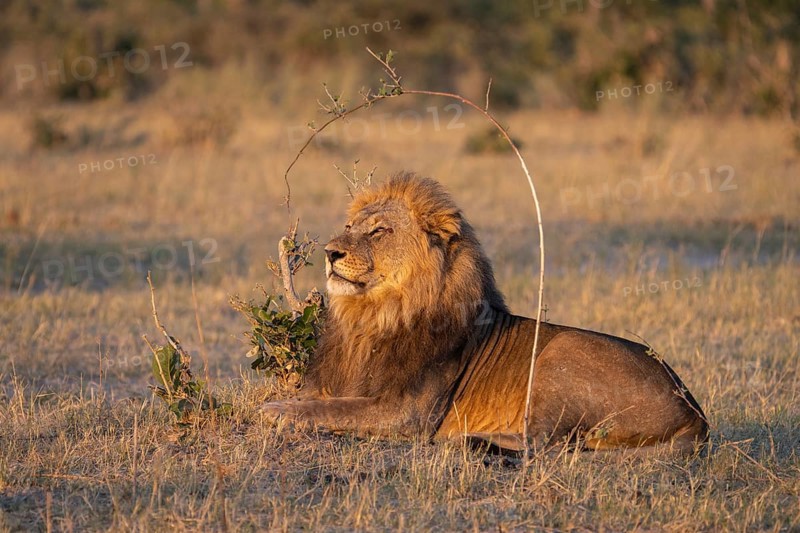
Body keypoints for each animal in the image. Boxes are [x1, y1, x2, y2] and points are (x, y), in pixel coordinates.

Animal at [262, 172, 709, 454]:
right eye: (349, 227)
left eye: (379, 231)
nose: (330, 252)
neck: (374, 318)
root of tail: (695, 414)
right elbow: (319, 398)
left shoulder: (406, 413)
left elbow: (332, 408)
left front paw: (278, 412)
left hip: (559, 353)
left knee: (546, 444)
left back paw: (468, 438)